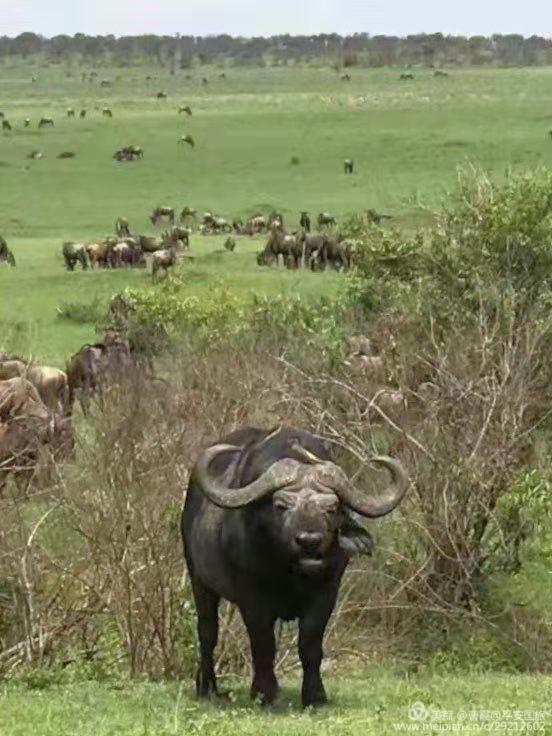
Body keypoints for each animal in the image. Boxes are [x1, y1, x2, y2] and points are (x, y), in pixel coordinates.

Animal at [183, 426, 408, 708]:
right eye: (281, 506)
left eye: (331, 507)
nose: (309, 541)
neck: (291, 573)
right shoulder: (252, 598)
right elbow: (263, 644)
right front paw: (267, 695)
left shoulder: (327, 593)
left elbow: (310, 644)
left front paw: (315, 696)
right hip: (199, 580)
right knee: (207, 632)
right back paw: (207, 687)